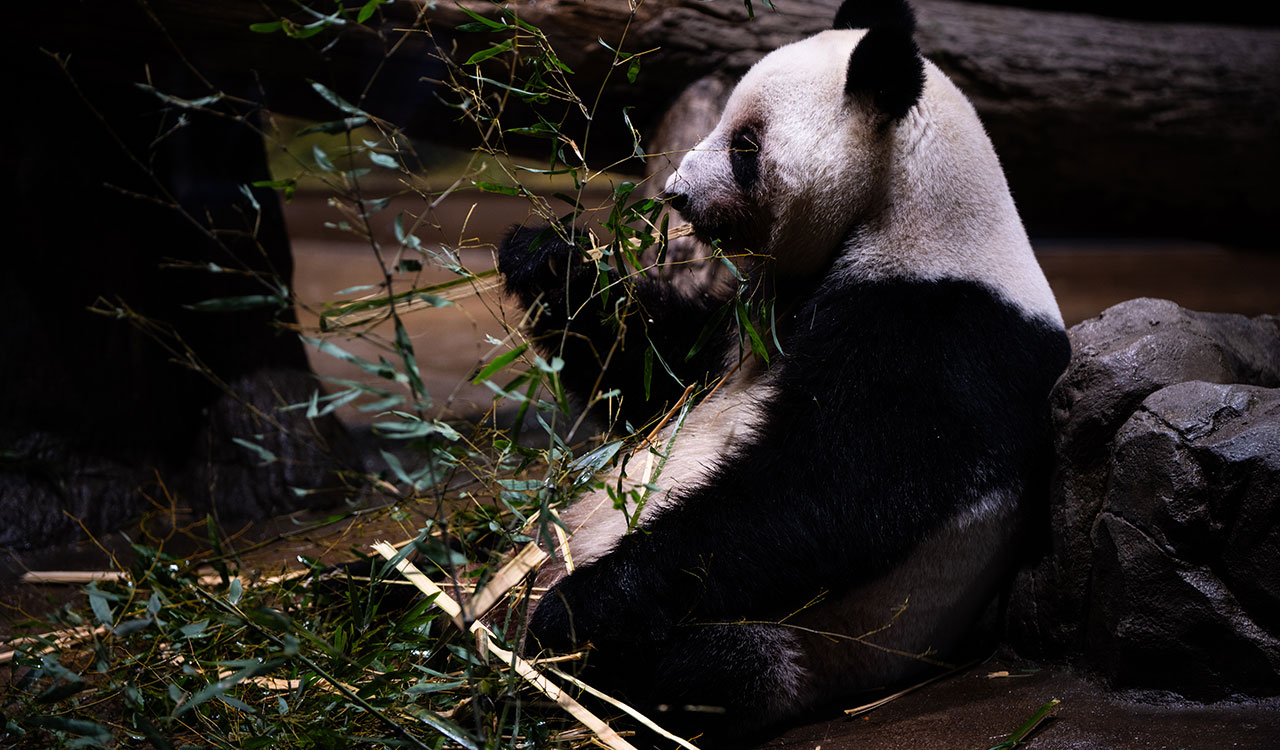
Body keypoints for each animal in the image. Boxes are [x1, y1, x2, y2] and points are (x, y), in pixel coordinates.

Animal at [497, 0, 1070, 742]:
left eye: (745, 146)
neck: (909, 213)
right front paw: (549, 260)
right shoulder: (751, 318)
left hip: (805, 651)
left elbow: (824, 494)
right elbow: (657, 373)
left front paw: (578, 609)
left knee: (708, 668)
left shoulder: (943, 332)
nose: (677, 194)